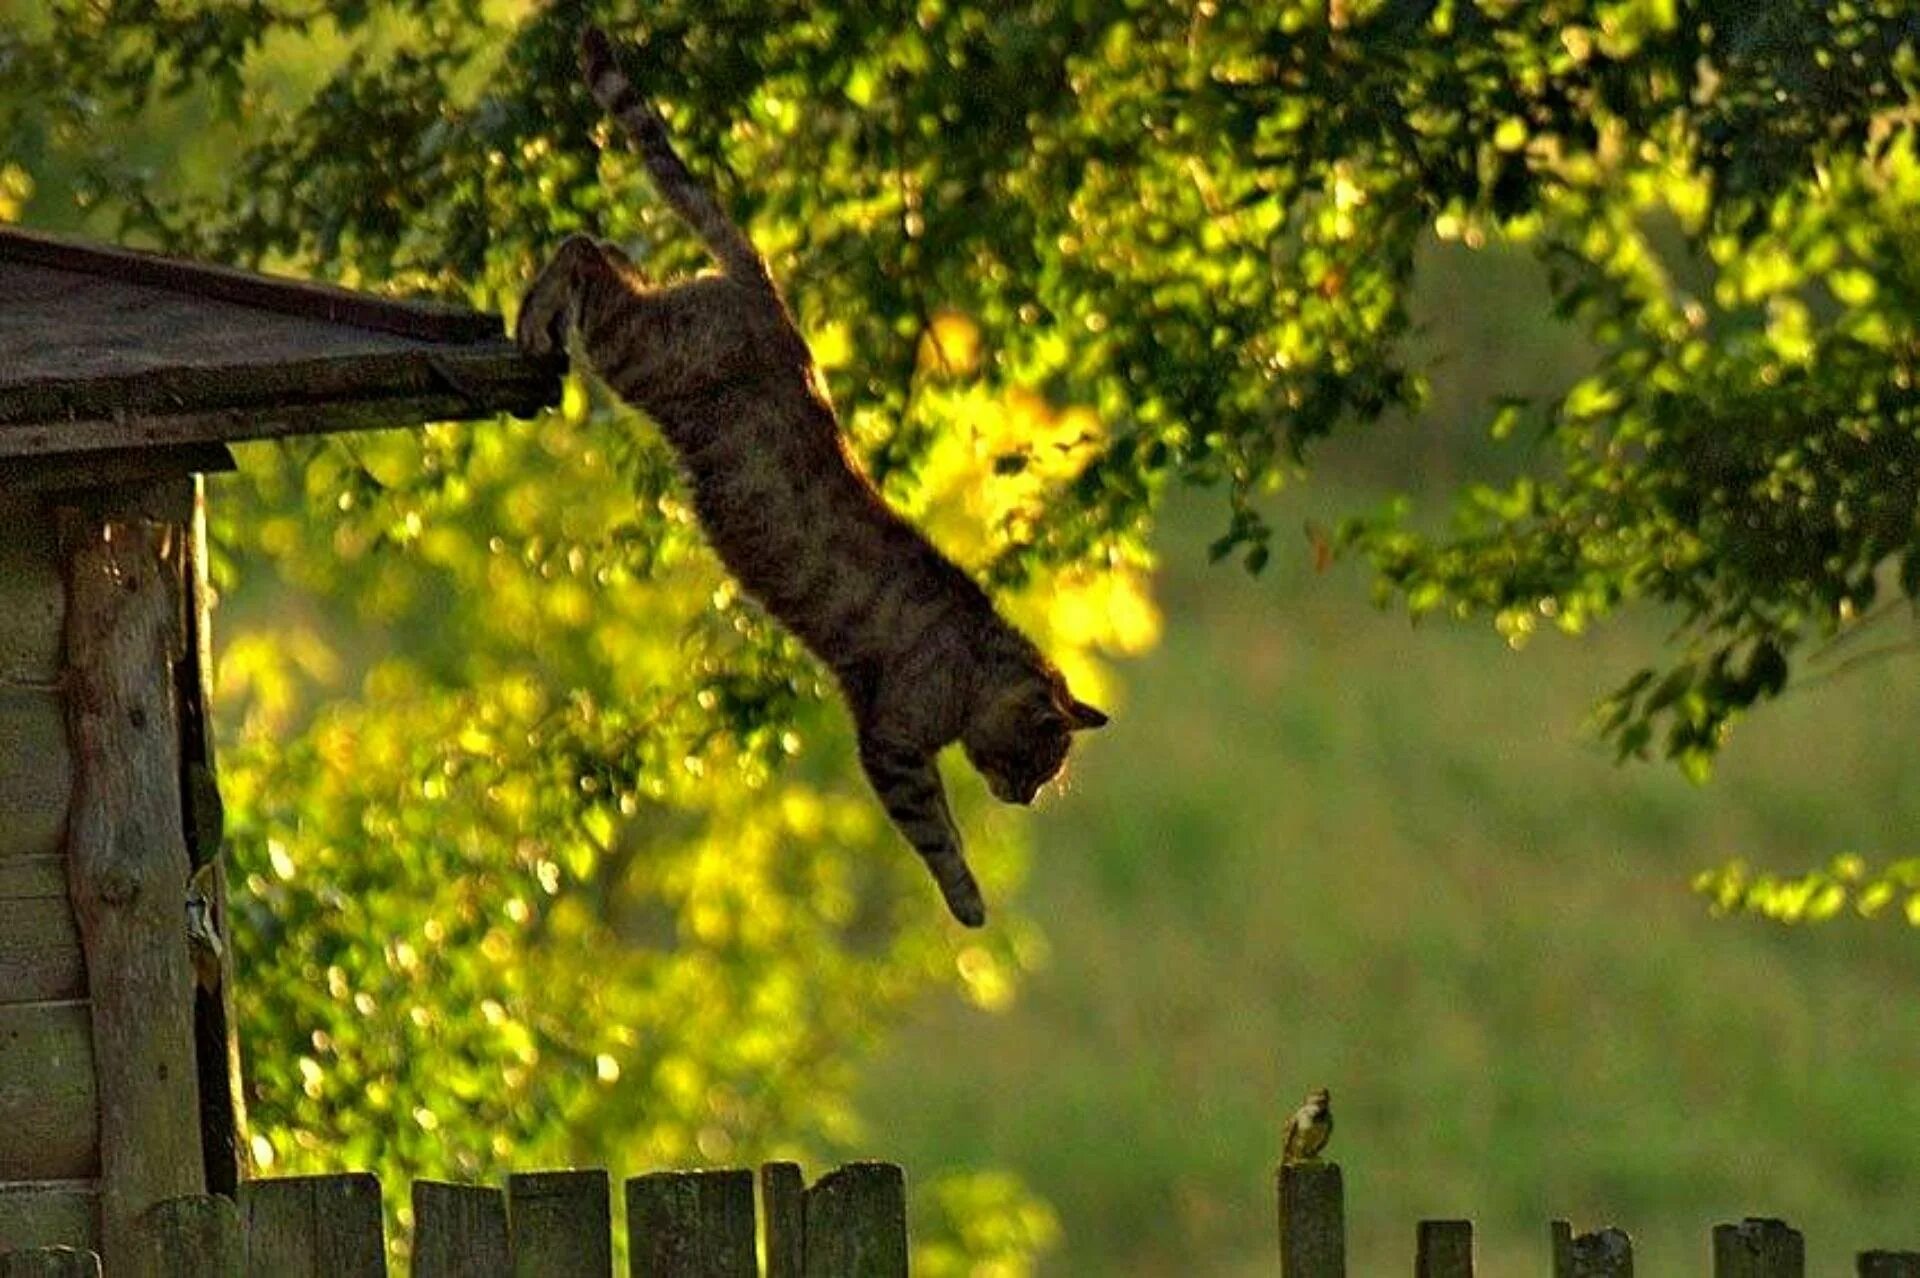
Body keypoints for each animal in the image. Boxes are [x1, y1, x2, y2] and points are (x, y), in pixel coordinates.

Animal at [514, 27, 1113, 924]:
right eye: (1036, 762)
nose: (1026, 797)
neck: (975, 665)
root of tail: (766, 290)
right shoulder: (892, 741)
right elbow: (938, 836)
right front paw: (968, 901)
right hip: (642, 353)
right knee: (581, 254)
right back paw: (532, 320)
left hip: (652, 331)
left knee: (608, 250)